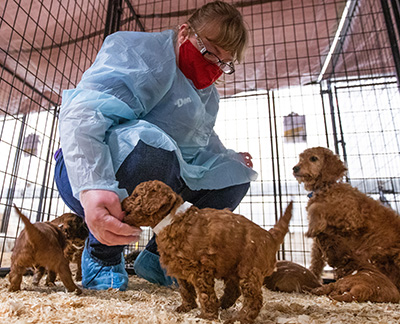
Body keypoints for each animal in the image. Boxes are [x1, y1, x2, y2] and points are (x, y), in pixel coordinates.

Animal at [122, 180, 294, 324]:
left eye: (135, 195)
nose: (122, 201)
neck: (172, 220)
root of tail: (270, 236)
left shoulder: (201, 269)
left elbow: (205, 295)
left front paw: (207, 316)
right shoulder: (180, 268)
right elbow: (185, 290)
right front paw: (185, 308)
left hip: (249, 270)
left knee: (254, 300)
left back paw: (239, 319)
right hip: (234, 268)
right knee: (234, 291)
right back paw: (223, 305)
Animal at [292, 147, 400, 292]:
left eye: (313, 158)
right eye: (300, 158)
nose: (295, 168)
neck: (326, 187)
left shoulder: (351, 217)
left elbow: (318, 207)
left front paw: (314, 222)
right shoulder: (318, 243)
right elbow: (316, 262)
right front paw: (313, 277)